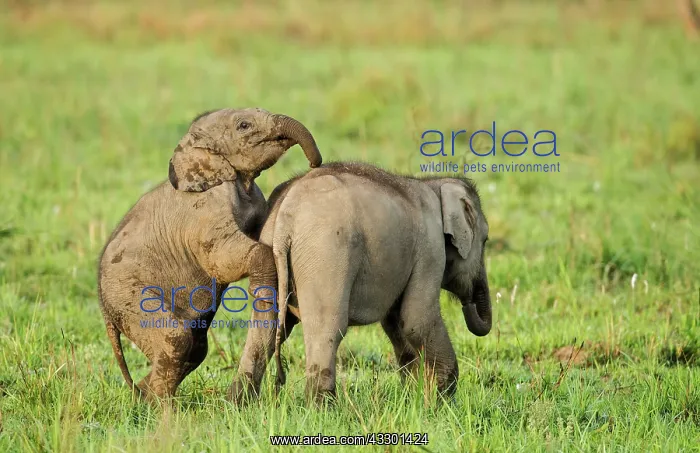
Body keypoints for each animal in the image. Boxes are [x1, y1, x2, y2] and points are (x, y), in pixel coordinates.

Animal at [98, 107, 321, 401]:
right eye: (244, 125)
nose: (315, 164)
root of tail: (104, 309)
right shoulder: (206, 210)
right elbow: (221, 259)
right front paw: (264, 280)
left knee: (195, 348)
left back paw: (144, 398)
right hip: (128, 295)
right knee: (177, 338)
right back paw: (162, 407)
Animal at [230, 161, 492, 404]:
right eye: (486, 240)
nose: (469, 302)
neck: (434, 184)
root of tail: (286, 213)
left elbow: (396, 324)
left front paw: (413, 400)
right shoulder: (430, 251)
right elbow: (416, 321)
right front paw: (439, 405)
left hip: (270, 256)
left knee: (266, 329)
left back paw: (239, 403)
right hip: (327, 254)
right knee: (327, 328)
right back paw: (322, 410)